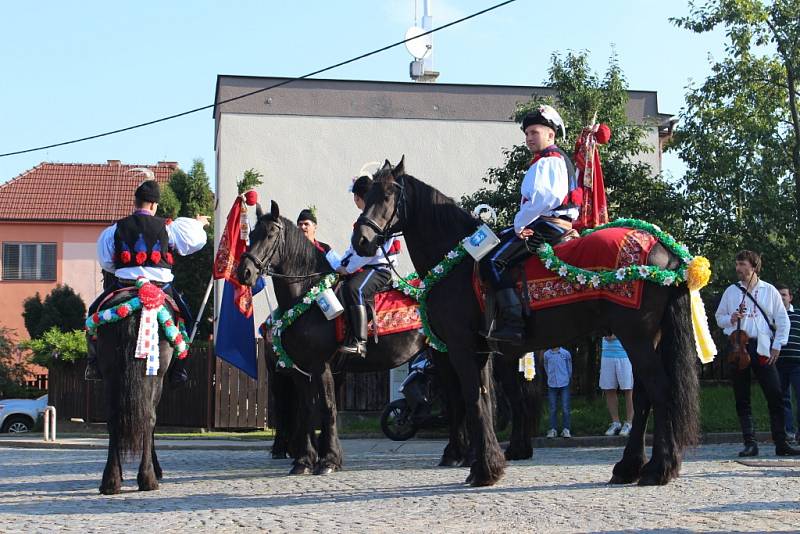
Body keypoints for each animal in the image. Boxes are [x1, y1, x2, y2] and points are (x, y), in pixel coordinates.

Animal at [94, 292, 176, 496]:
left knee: (113, 420)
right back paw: (148, 478)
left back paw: (111, 480)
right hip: (156, 376)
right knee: (149, 419)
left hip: (111, 376)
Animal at [354, 157, 704, 488]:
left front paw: (483, 470)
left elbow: (472, 401)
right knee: (644, 394)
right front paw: (488, 464)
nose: (361, 240)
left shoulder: (460, 348)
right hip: (644, 338)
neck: (457, 262)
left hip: (636, 337)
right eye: (367, 194)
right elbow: (484, 401)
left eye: (388, 194)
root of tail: (665, 253)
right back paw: (629, 467)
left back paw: (659, 468)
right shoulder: (482, 351)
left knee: (659, 390)